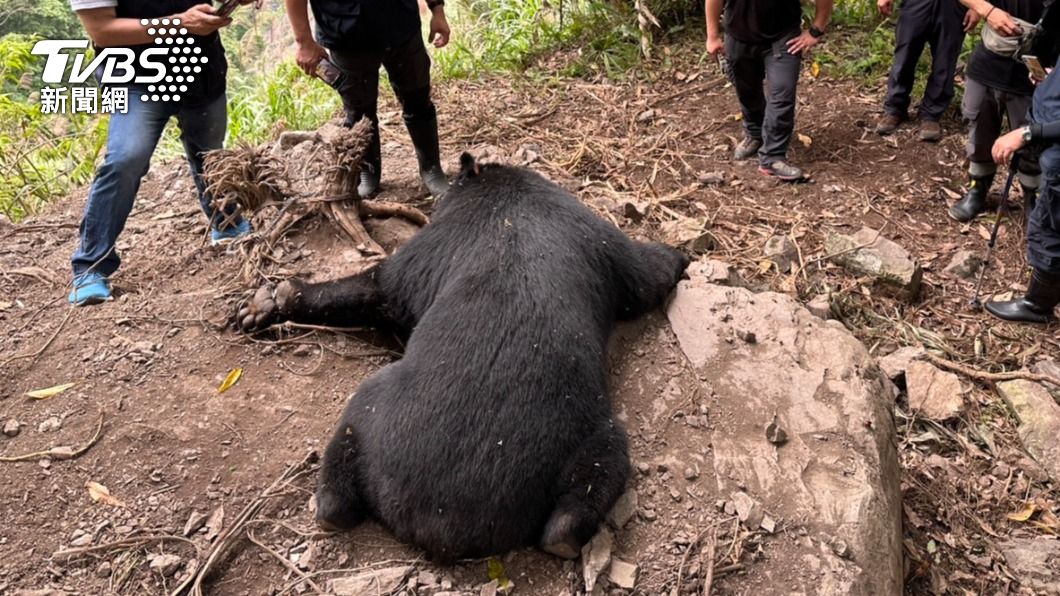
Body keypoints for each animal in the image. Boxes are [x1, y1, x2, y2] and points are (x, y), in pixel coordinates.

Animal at [237, 154, 689, 562]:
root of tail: (442, 521)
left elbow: (382, 287)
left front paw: (269, 299)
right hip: (589, 445)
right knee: (577, 503)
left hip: (378, 407)